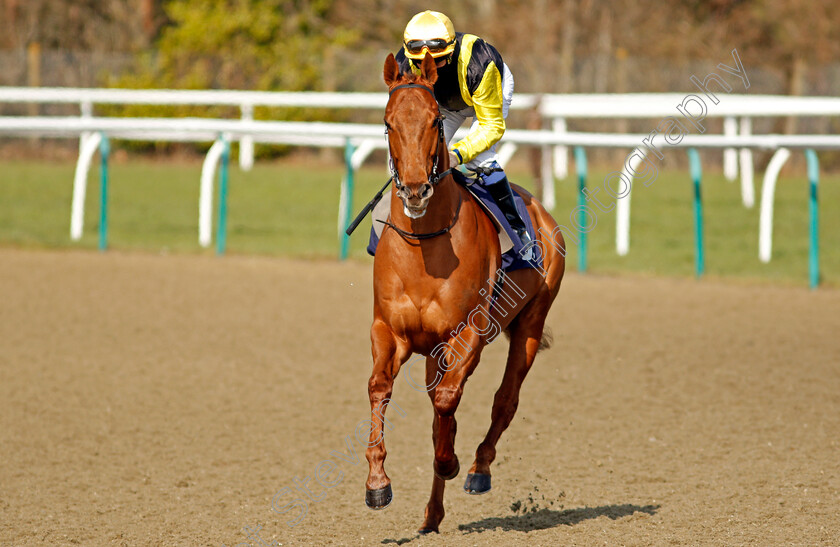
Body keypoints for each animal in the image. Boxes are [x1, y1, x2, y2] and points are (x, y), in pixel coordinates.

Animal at [366, 52, 568, 536]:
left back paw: (477, 469)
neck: (424, 245)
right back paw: (431, 514)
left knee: (504, 401)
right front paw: (377, 482)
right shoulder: (389, 331)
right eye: (388, 122)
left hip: (530, 325)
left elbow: (447, 404)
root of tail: (540, 211)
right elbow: (381, 389)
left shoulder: (467, 333)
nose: (415, 188)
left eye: (435, 121)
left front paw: (451, 463)